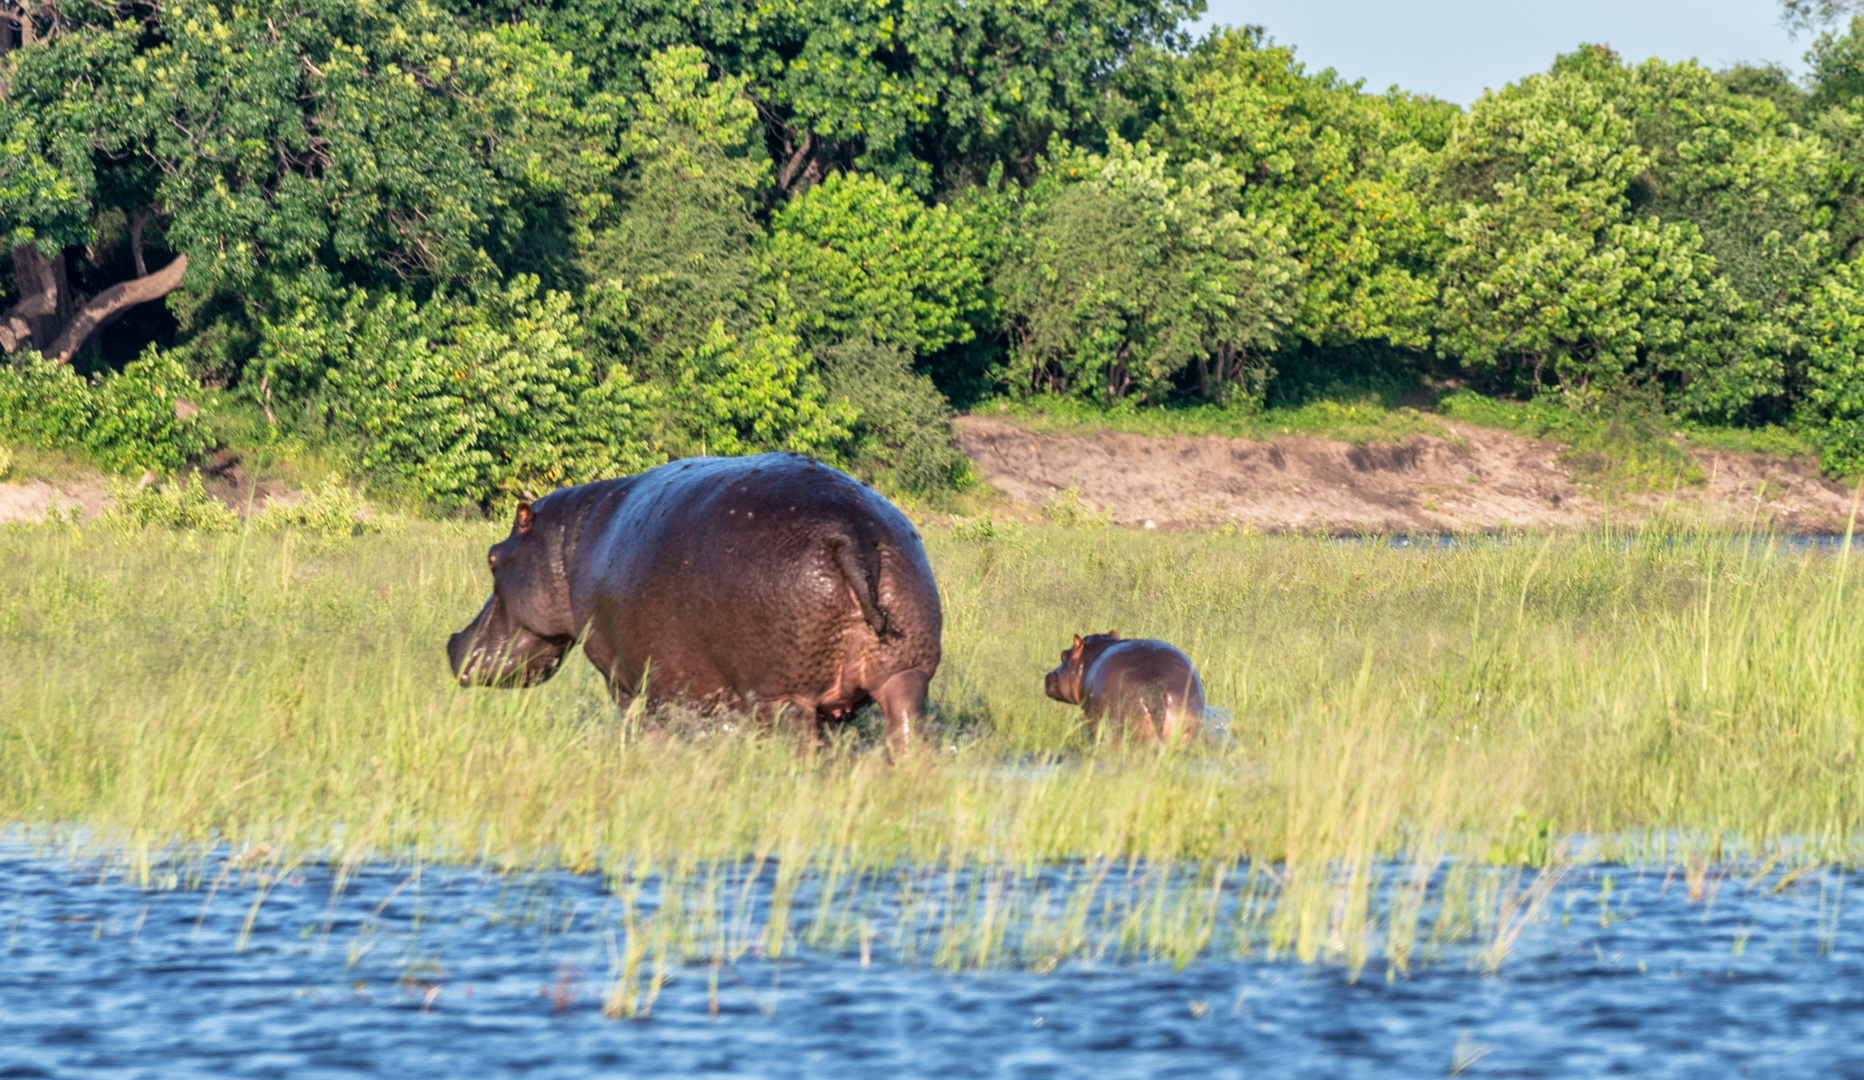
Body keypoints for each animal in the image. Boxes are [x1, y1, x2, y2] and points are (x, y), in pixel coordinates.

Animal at [447, 455, 946, 753]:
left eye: (492, 558)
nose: (453, 643)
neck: (561, 547)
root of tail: (852, 534)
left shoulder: (623, 678)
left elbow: (641, 727)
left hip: (785, 696)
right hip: (906, 671)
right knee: (906, 731)